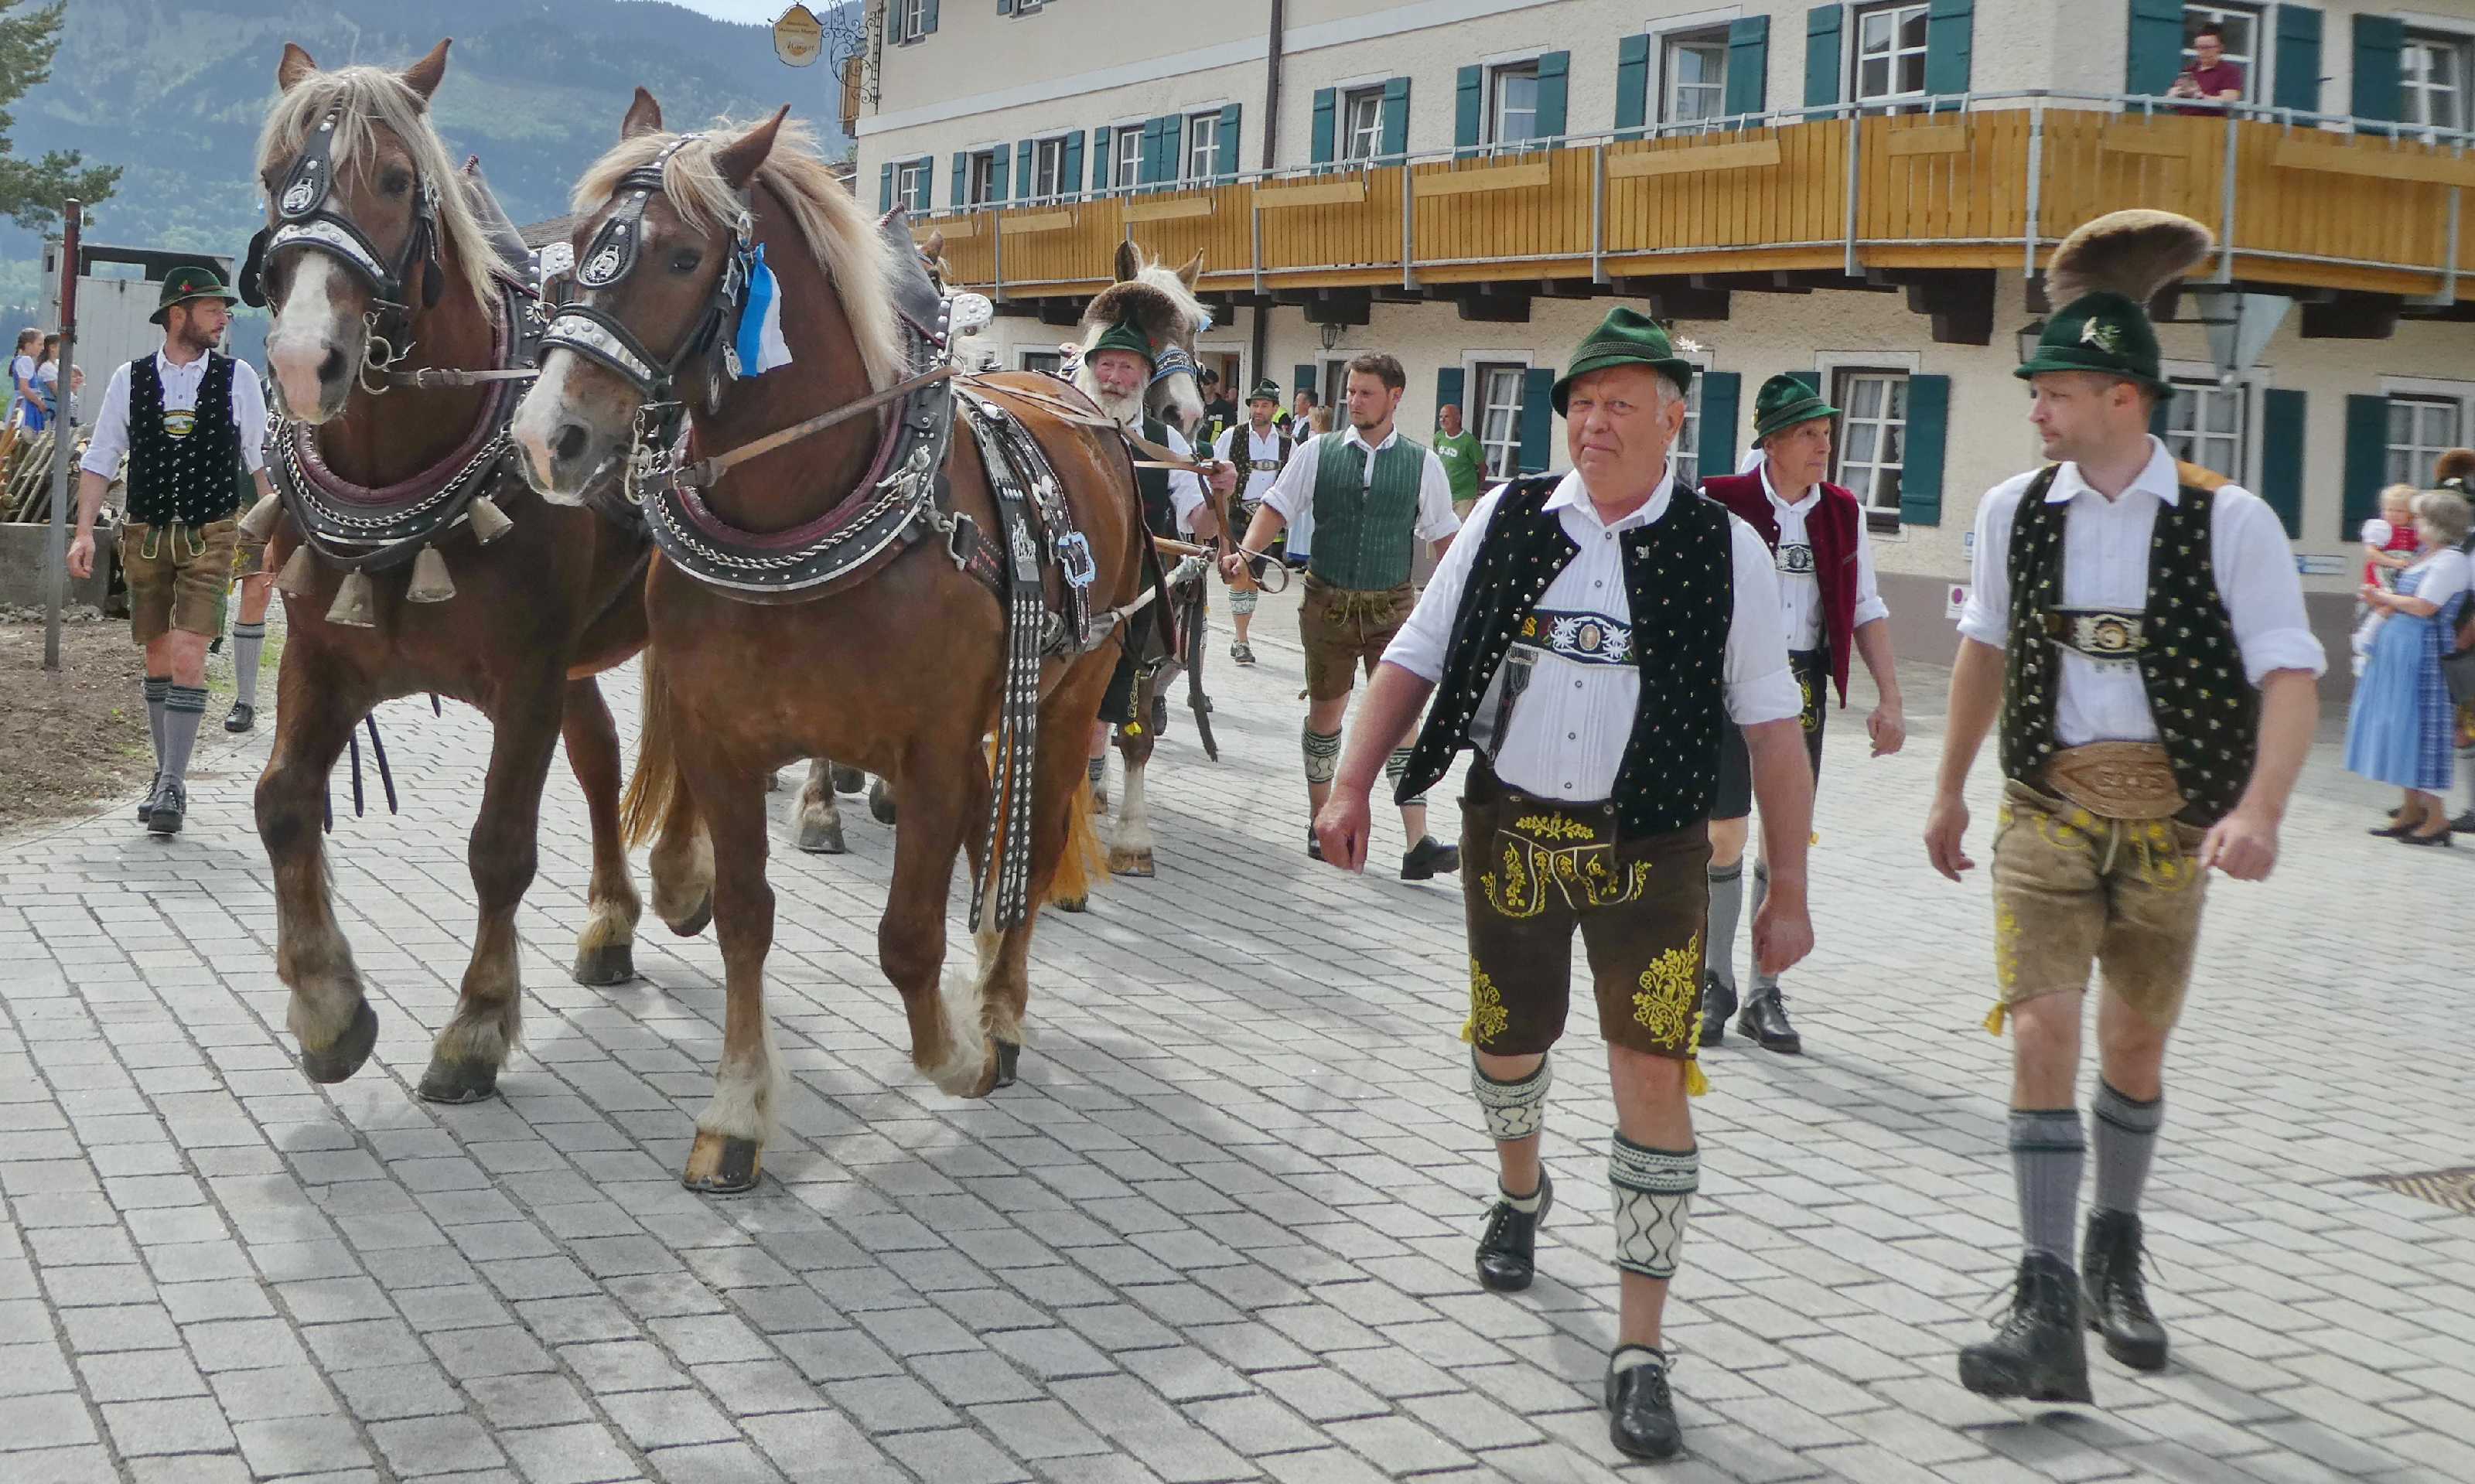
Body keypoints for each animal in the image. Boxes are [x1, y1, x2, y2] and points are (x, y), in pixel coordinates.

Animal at [242, 40, 655, 1102]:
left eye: (394, 180)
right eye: (274, 176)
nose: (303, 362)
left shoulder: (527, 678)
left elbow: (500, 847)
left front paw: (475, 1024)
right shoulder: (321, 656)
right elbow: (281, 803)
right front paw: (326, 1003)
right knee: (603, 757)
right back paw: (612, 919)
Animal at [508, 92, 1145, 1192]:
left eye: (682, 256)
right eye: (580, 246)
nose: (552, 437)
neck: (805, 513)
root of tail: (1075, 400)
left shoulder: (929, 754)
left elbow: (906, 938)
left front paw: (956, 1050)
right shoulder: (722, 741)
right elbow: (744, 917)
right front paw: (735, 1111)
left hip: (1066, 698)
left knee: (1027, 847)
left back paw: (1001, 1011)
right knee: (994, 830)